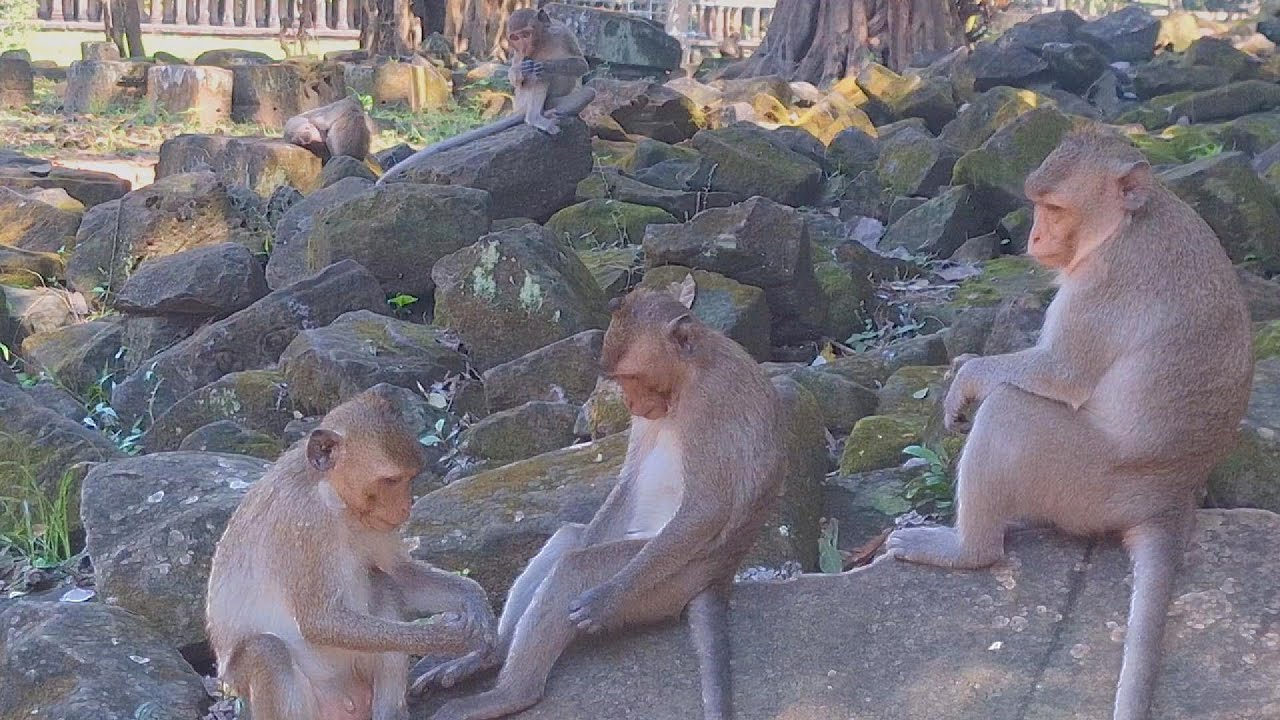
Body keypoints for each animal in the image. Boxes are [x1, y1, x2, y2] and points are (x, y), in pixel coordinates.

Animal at [206, 389, 498, 720]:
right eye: (390, 481)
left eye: (410, 478)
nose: (405, 506)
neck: (333, 498)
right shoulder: (304, 523)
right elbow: (319, 621)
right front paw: (446, 637)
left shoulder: (372, 522)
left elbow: (399, 572)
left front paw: (476, 603)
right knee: (267, 652)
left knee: (382, 581)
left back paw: (390, 713)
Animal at [377, 8, 596, 185]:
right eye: (515, 38)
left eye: (526, 34)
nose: (524, 47)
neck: (542, 42)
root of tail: (522, 110)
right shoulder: (520, 54)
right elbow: (518, 77)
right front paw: (522, 72)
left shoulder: (562, 32)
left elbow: (581, 65)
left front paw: (546, 65)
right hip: (525, 101)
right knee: (538, 82)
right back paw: (535, 117)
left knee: (587, 92)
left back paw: (552, 111)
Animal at [410, 275, 787, 720]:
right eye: (620, 381)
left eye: (632, 377)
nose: (629, 402)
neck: (688, 377)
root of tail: (718, 579)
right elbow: (627, 485)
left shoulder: (711, 402)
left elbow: (707, 508)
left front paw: (608, 597)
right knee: (571, 540)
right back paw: (489, 656)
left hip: (668, 584)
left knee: (576, 568)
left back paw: (511, 693)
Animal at [884, 127, 1253, 720]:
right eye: (1035, 206)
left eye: (1054, 209)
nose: (1034, 237)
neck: (1128, 223)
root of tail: (1168, 500)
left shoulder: (1104, 281)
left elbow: (1060, 373)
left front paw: (969, 376)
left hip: (1087, 485)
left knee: (1009, 412)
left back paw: (968, 549)